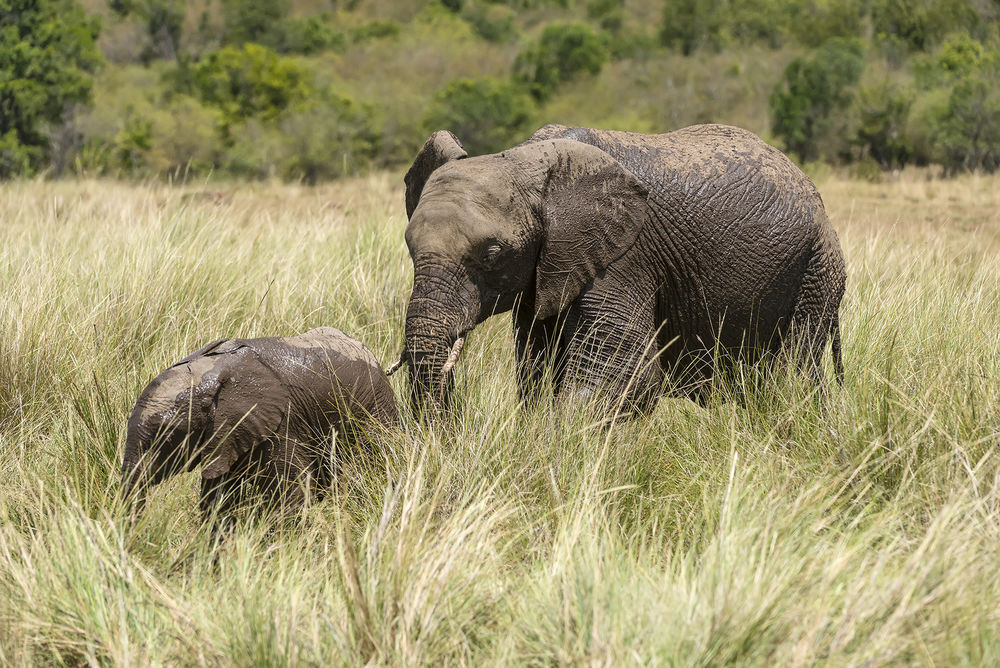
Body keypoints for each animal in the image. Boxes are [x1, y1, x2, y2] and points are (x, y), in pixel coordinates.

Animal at [394, 121, 848, 412]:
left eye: (491, 253)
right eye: (410, 247)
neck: (522, 161)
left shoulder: (625, 256)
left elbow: (628, 372)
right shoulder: (548, 268)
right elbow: (537, 369)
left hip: (816, 272)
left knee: (793, 375)